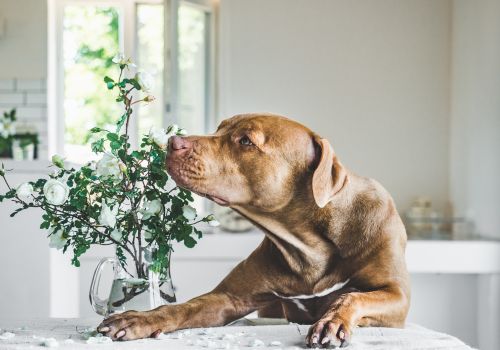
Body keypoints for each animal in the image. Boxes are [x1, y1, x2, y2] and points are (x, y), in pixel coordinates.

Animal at [97, 114, 410, 348]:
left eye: (246, 141)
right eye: (219, 128)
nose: (173, 141)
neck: (310, 245)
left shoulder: (397, 296)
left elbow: (353, 296)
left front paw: (332, 322)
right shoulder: (229, 298)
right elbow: (182, 307)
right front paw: (138, 318)